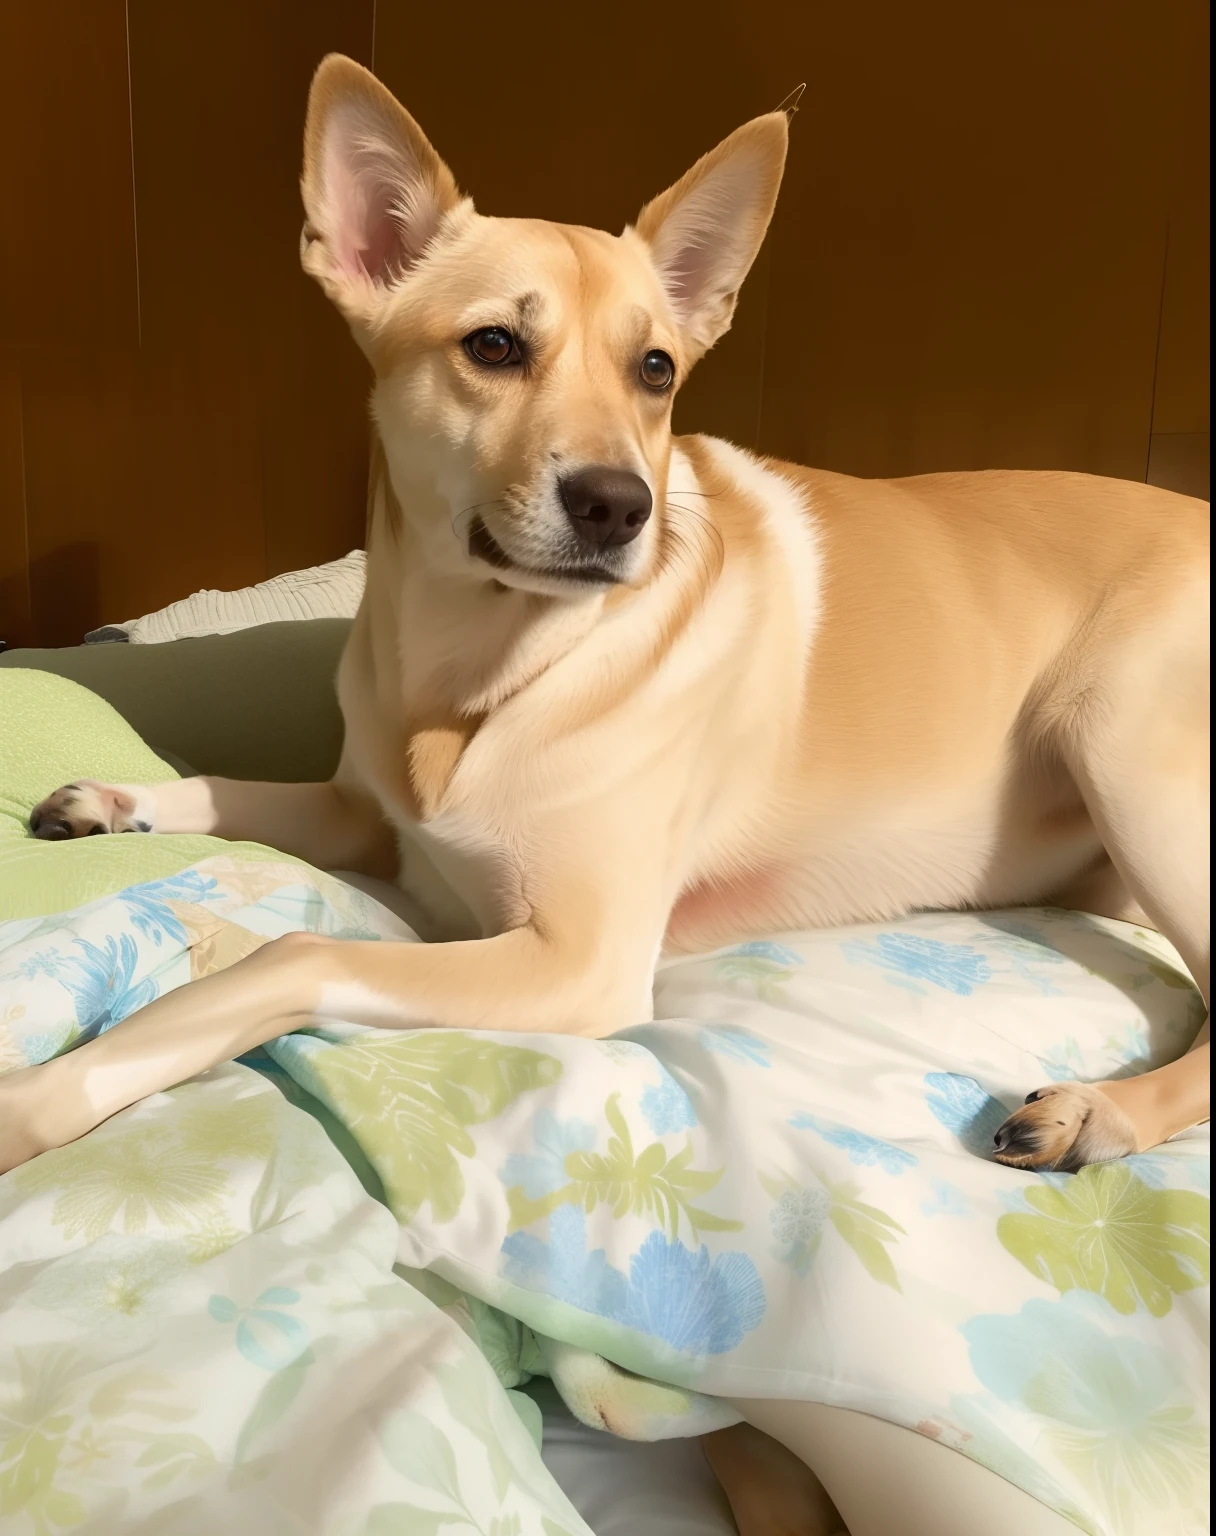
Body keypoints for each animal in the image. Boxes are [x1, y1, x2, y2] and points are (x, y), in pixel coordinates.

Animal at [4, 48, 1209, 1523]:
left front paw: (37, 1103)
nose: (618, 506)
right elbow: (239, 783)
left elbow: (286, 958)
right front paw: (115, 801)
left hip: (1126, 740)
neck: (473, 671)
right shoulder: (365, 812)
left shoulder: (574, 962)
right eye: (493, 346)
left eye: (655, 370)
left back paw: (1100, 1112)